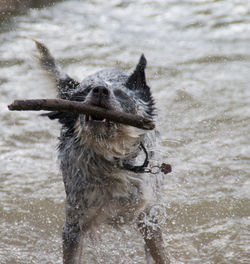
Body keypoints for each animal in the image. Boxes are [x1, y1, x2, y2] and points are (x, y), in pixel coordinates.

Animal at [35, 39, 170, 264]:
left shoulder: (148, 218)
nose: (99, 90)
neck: (112, 160)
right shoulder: (74, 225)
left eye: (122, 94)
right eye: (87, 91)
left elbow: (160, 253)